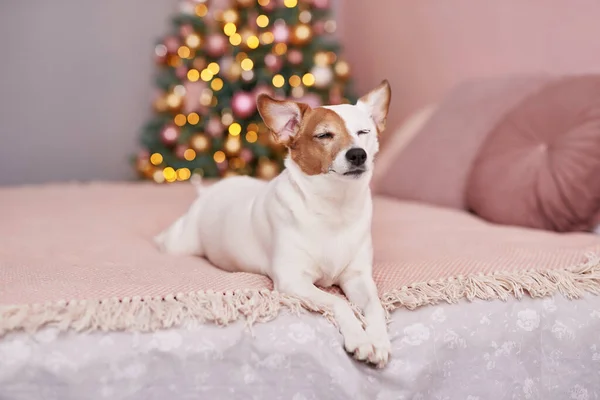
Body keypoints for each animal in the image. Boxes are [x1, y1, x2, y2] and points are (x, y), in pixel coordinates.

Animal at [154, 81, 394, 368]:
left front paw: (378, 339)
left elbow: (375, 306)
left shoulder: (358, 278)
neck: (334, 208)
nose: (358, 154)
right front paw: (359, 338)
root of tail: (212, 190)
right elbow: (339, 303)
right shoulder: (293, 281)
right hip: (179, 243)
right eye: (324, 135)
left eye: (363, 132)